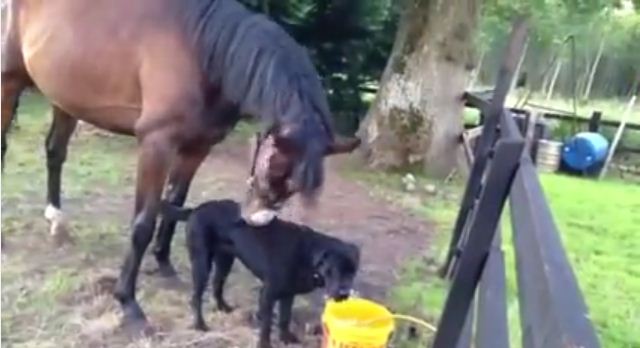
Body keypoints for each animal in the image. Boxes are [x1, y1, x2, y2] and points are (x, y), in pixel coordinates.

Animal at [0, 0, 360, 328]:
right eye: (271, 166)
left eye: (294, 186)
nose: (255, 221)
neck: (203, 54)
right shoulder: (156, 143)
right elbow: (142, 223)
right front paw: (128, 302)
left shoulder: (196, 148)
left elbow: (174, 202)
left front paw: (164, 264)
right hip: (9, 81)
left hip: (66, 95)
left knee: (55, 151)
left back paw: (57, 220)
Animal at [169, 198, 360, 348]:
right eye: (333, 270)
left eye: (352, 271)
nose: (344, 293)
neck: (308, 256)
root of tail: (196, 209)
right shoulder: (267, 295)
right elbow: (267, 325)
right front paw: (265, 344)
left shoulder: (288, 294)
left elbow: (284, 318)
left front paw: (286, 338)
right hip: (202, 263)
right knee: (196, 297)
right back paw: (200, 325)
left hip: (225, 261)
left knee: (217, 285)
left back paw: (224, 308)